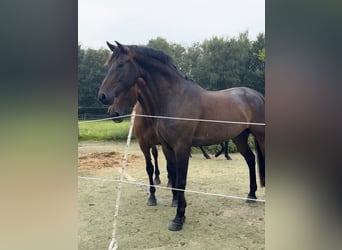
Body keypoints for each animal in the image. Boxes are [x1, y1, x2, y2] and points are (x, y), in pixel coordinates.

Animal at [98, 42, 264, 231]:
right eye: (108, 65)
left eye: (120, 65)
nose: (103, 96)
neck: (176, 97)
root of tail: (257, 95)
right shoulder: (167, 147)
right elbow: (174, 177)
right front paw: (178, 207)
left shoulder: (181, 147)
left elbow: (181, 180)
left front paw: (178, 218)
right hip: (240, 137)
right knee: (251, 159)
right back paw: (251, 195)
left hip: (259, 135)